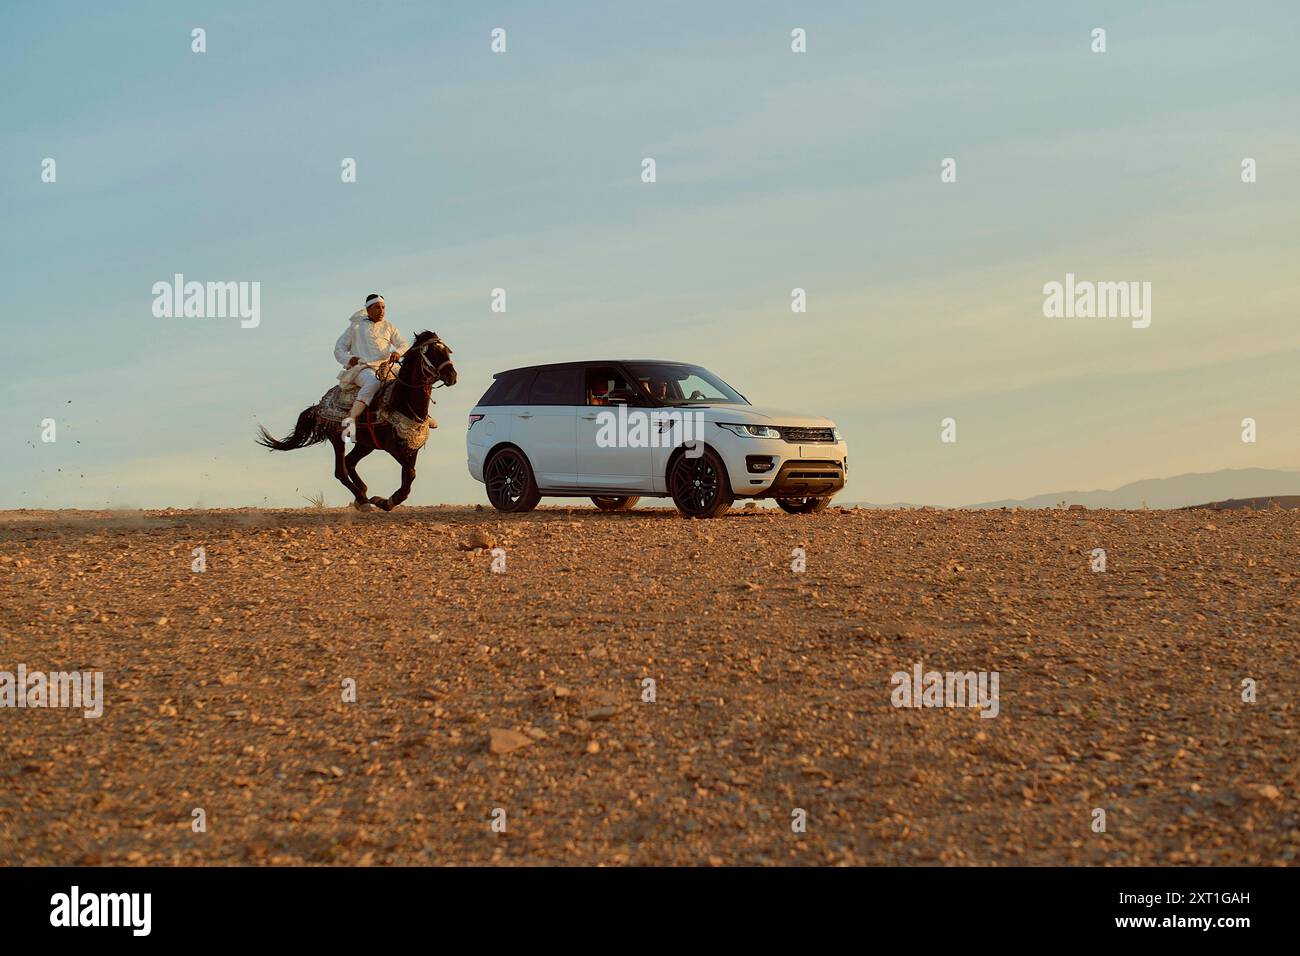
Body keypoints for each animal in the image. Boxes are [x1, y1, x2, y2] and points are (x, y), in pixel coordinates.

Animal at [254, 330, 457, 512]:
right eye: (431, 352)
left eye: (446, 350)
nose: (452, 376)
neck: (402, 402)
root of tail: (318, 406)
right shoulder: (393, 448)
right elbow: (410, 474)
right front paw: (384, 501)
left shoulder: (411, 448)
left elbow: (408, 477)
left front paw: (385, 501)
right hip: (338, 439)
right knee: (341, 470)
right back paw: (363, 499)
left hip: (365, 444)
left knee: (350, 462)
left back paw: (363, 495)